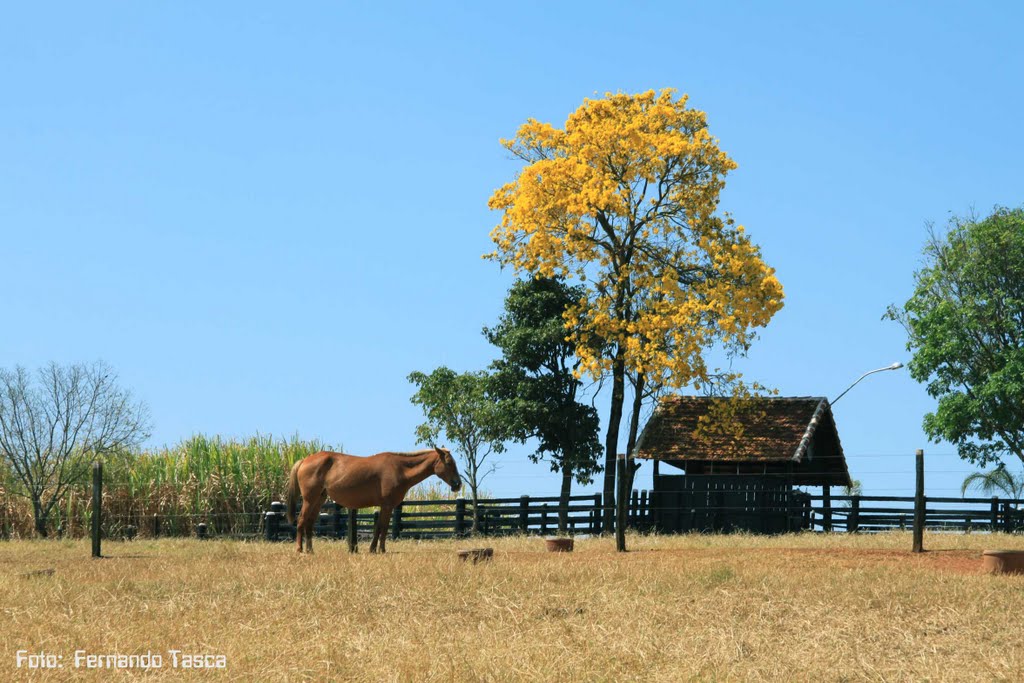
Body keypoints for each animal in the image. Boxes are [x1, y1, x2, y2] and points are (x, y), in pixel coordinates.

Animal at [288, 448, 464, 557]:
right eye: (449, 463)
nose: (458, 484)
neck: (400, 469)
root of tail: (304, 460)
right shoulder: (387, 506)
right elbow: (383, 528)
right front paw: (380, 549)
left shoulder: (386, 507)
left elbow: (378, 528)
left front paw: (374, 549)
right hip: (309, 500)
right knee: (302, 520)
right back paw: (299, 549)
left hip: (319, 499)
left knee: (309, 523)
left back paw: (310, 550)